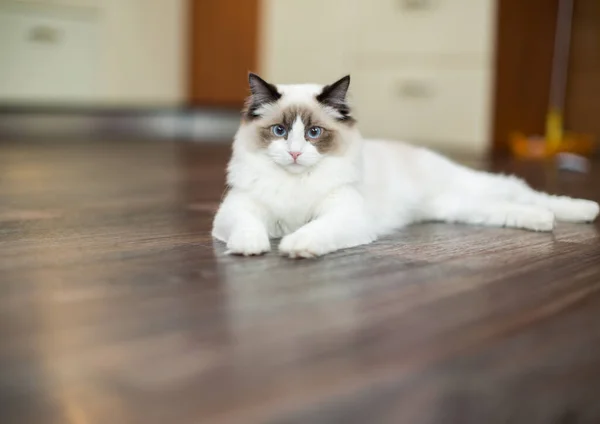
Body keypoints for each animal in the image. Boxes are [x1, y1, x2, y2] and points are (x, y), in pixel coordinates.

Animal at [211, 73, 596, 258]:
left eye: (313, 133)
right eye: (279, 131)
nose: (293, 153)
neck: (296, 183)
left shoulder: (345, 216)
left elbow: (312, 232)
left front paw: (295, 248)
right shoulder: (238, 211)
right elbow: (248, 228)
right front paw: (249, 248)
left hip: (475, 187)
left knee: (526, 190)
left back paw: (586, 209)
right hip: (458, 207)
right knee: (511, 207)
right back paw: (544, 222)